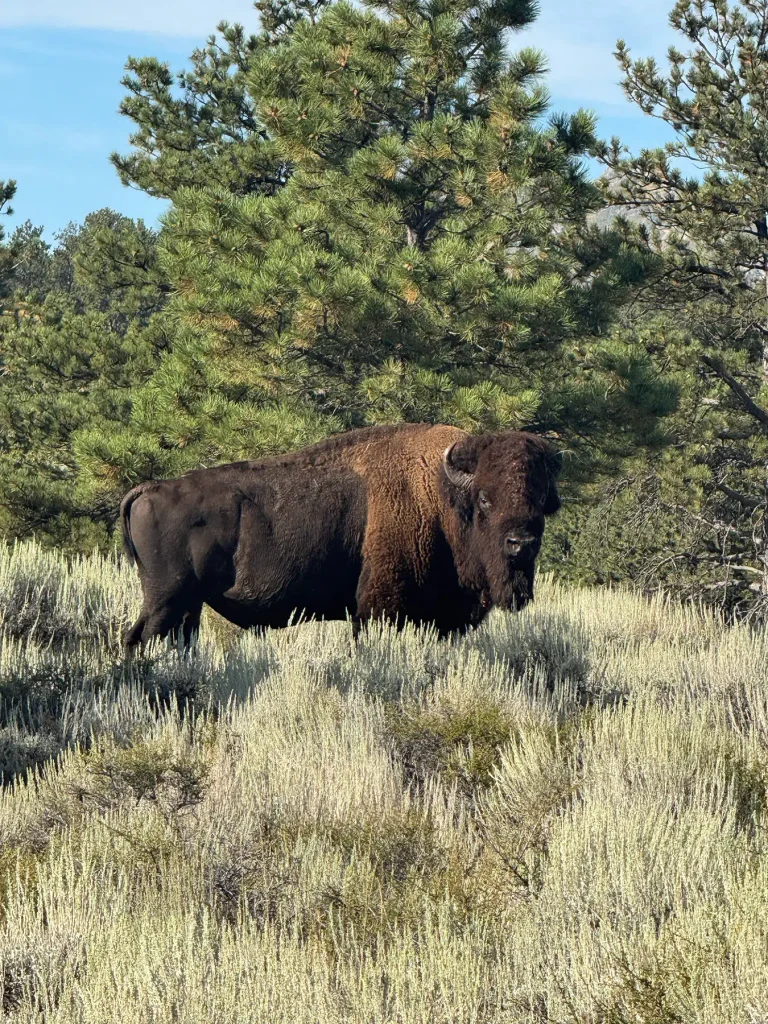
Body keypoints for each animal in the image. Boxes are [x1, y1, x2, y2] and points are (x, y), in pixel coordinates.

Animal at [119, 423, 561, 648]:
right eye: (485, 498)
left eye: (540, 500)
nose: (521, 545)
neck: (441, 495)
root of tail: (150, 489)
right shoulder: (380, 609)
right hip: (165, 600)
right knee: (139, 638)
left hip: (187, 605)